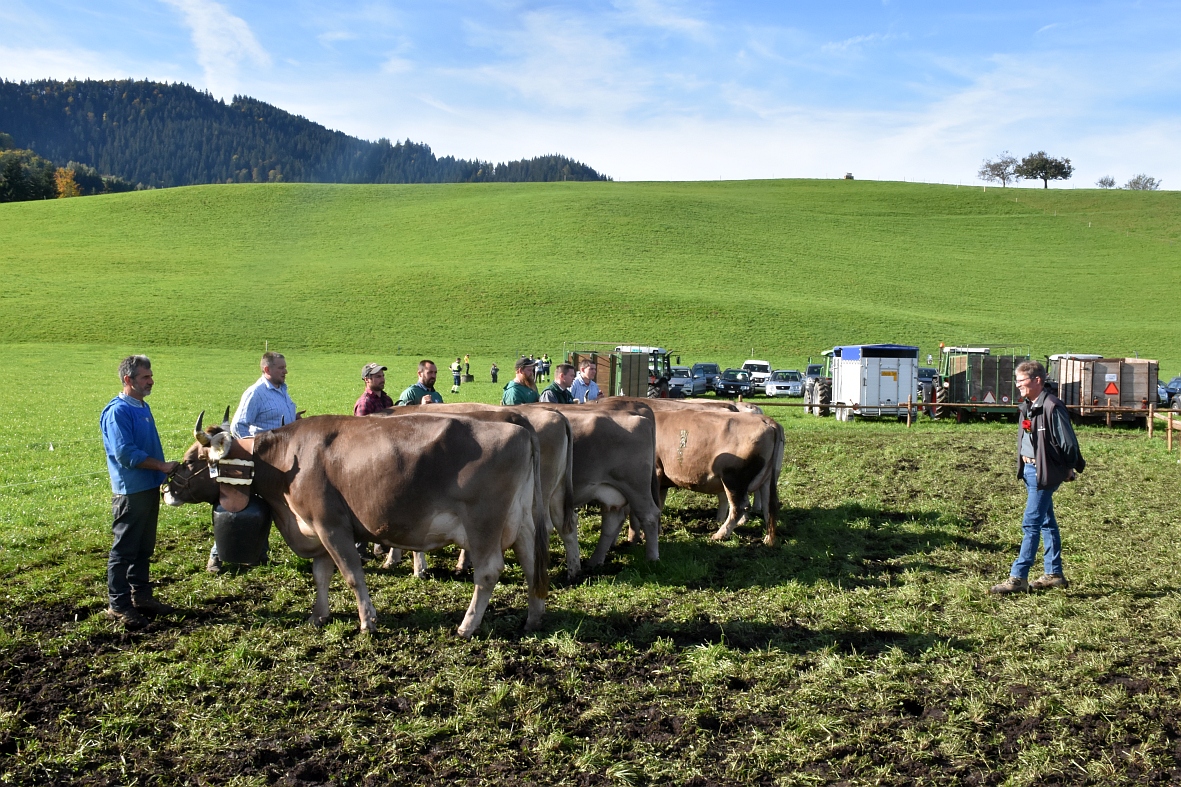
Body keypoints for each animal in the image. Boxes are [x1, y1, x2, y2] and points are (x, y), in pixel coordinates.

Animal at [164, 406, 550, 633]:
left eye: (193, 459)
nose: (167, 488)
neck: (287, 462)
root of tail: (518, 427)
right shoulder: (314, 528)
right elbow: (320, 575)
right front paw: (318, 615)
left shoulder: (331, 525)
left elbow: (351, 574)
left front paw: (367, 621)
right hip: (522, 520)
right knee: (531, 563)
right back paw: (533, 617)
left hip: (483, 523)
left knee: (487, 573)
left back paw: (467, 626)